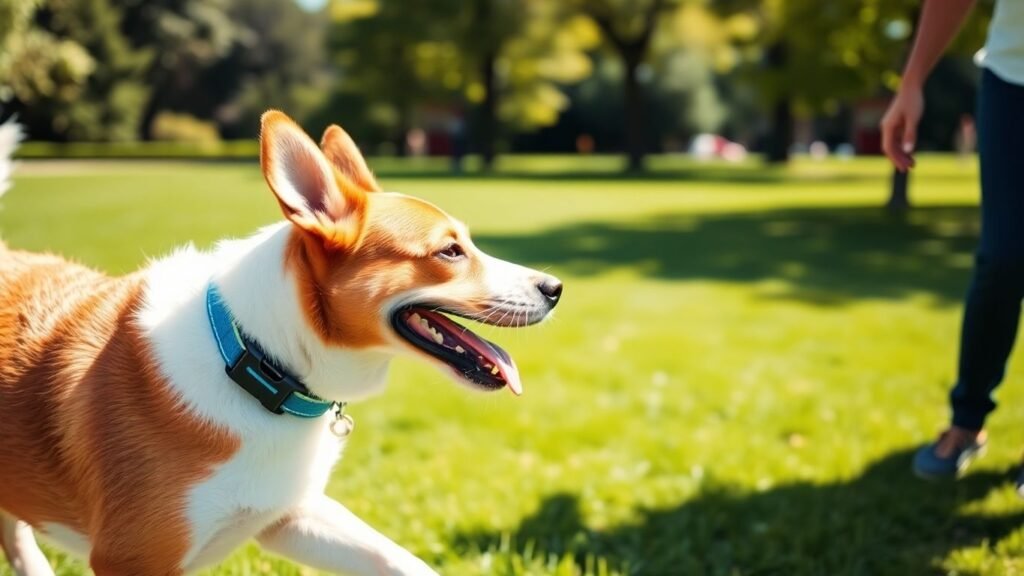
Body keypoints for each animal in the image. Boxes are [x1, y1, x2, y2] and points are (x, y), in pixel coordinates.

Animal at [0, 109, 565, 569]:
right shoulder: (133, 555)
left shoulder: (291, 515)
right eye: (449, 251)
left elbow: (402, 561)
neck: (252, 360)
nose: (556, 288)